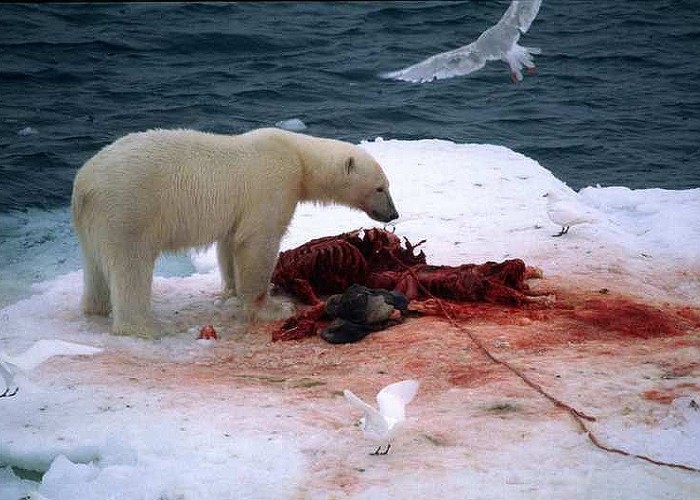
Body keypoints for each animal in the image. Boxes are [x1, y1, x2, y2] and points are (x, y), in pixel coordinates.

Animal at [72, 127, 400, 336]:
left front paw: (231, 290)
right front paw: (273, 307)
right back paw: (148, 327)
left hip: (93, 222)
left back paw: (96, 308)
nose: (393, 214)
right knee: (131, 265)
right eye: (380, 187)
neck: (297, 154)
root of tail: (84, 184)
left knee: (96, 265)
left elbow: (230, 243)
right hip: (129, 209)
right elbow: (257, 241)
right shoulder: (275, 182)